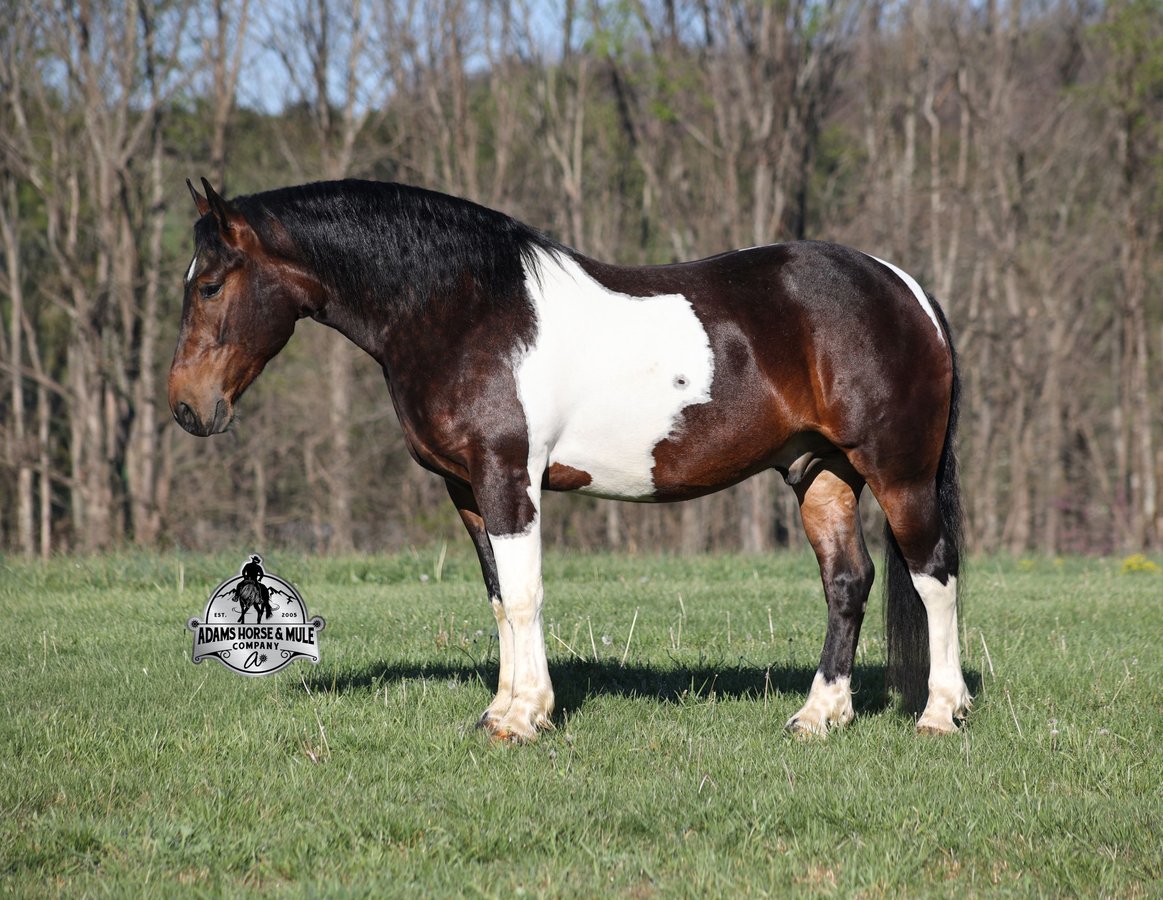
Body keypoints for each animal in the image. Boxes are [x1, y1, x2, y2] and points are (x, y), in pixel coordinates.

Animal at [169, 177, 970, 741]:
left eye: (209, 284)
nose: (186, 407)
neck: (462, 308)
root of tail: (905, 288)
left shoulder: (507, 477)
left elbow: (525, 594)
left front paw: (526, 716)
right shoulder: (466, 489)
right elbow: (499, 597)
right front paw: (500, 711)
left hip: (898, 472)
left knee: (934, 575)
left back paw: (940, 713)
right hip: (820, 472)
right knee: (847, 582)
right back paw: (818, 716)